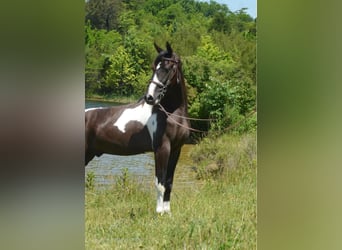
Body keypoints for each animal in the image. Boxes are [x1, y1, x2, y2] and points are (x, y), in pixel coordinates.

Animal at [84, 42, 188, 214]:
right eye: (153, 67)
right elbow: (160, 183)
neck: (171, 114)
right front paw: (159, 213)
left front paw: (167, 213)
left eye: (167, 68)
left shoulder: (176, 149)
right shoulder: (162, 149)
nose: (150, 97)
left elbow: (169, 182)